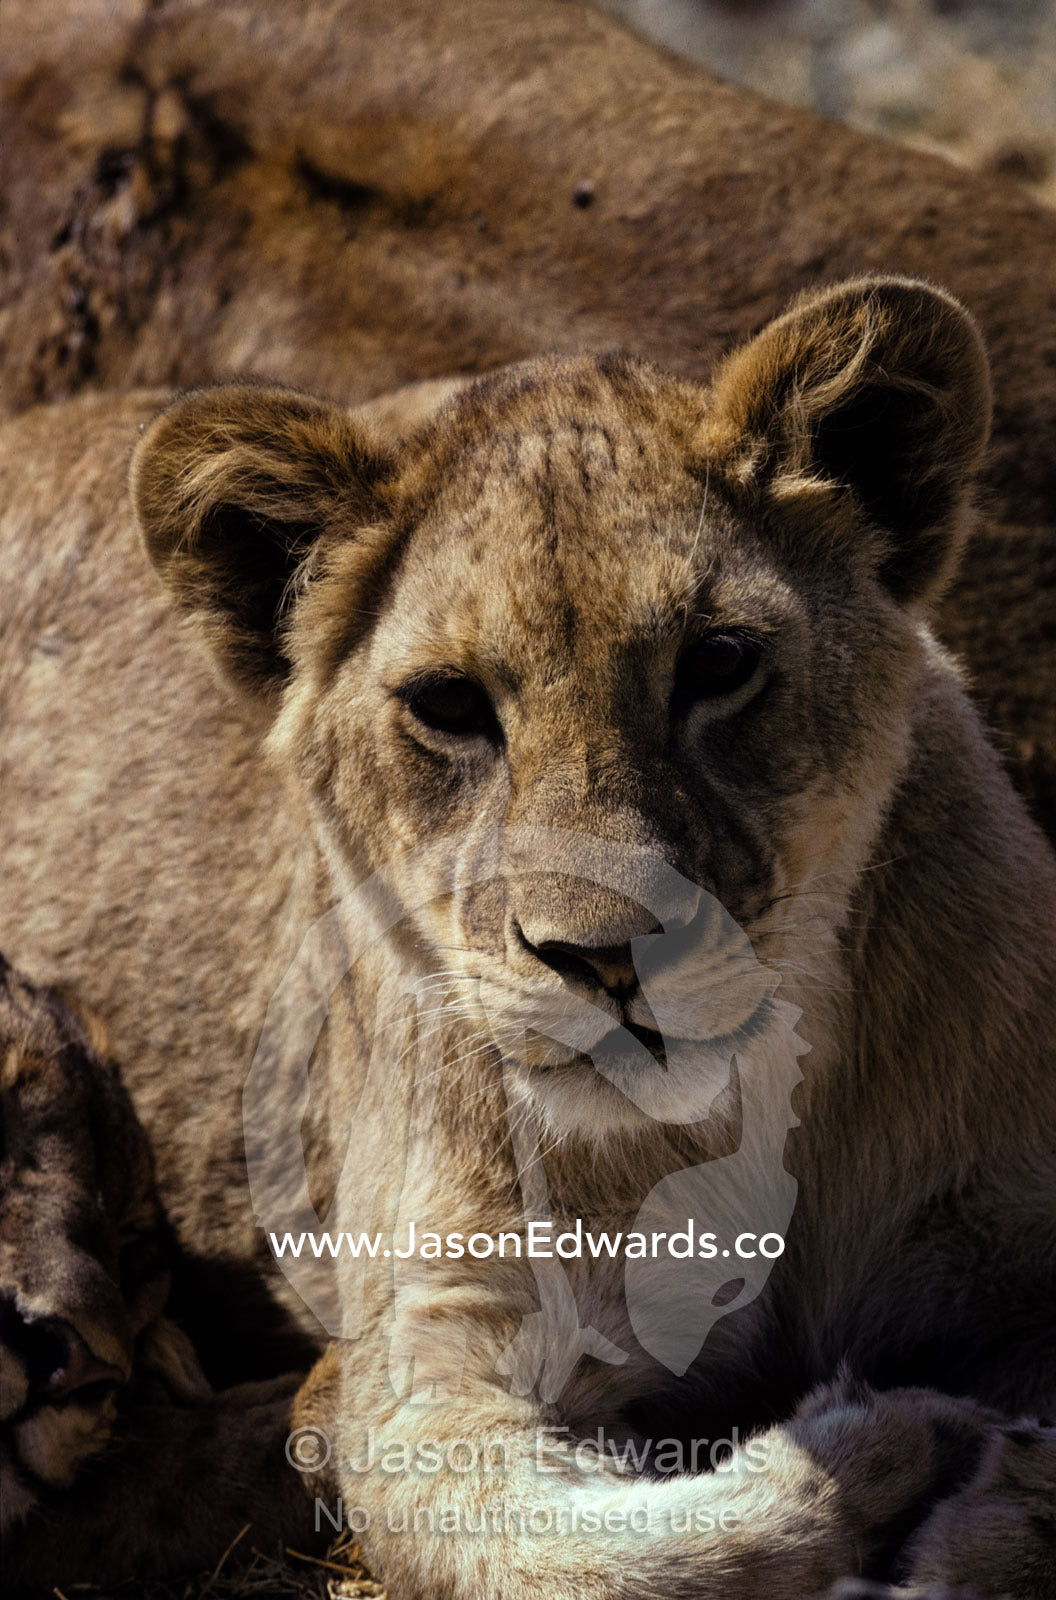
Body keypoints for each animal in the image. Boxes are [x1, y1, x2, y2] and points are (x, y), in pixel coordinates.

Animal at [0, 274, 1054, 1593]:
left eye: (720, 661)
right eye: (450, 705)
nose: (605, 956)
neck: (737, 1117)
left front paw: (981, 1523)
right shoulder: (427, 1356)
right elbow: (593, 1559)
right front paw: (895, 1455)